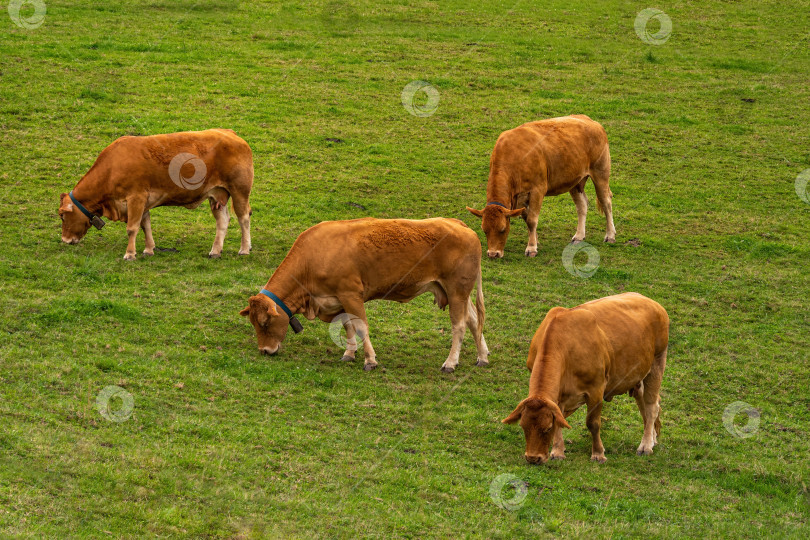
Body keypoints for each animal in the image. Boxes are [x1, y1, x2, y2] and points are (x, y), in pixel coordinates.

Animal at [59, 129, 252, 260]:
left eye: (62, 215)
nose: (64, 240)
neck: (112, 167)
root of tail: (230, 133)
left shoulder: (136, 198)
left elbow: (132, 228)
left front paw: (130, 254)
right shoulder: (143, 201)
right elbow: (146, 225)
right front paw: (148, 249)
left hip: (240, 190)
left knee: (243, 218)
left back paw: (244, 249)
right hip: (216, 195)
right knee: (223, 221)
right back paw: (215, 251)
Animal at [237, 217, 490, 374]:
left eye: (265, 322)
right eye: (254, 323)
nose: (265, 351)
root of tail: (458, 224)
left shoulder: (351, 294)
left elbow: (361, 327)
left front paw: (370, 360)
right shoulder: (337, 300)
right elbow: (348, 325)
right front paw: (349, 353)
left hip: (457, 291)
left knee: (459, 326)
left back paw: (450, 363)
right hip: (458, 293)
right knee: (474, 321)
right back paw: (482, 357)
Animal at [464, 115, 616, 258]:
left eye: (502, 229)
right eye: (484, 230)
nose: (493, 254)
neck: (514, 158)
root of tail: (592, 122)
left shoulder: (537, 190)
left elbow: (532, 220)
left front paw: (531, 248)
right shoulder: (521, 197)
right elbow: (527, 218)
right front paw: (535, 241)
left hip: (600, 173)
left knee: (606, 202)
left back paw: (610, 235)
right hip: (575, 181)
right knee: (582, 205)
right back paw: (579, 236)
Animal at [502, 294, 664, 466]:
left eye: (547, 428)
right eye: (523, 427)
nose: (533, 458)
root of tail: (651, 302)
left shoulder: (596, 390)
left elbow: (593, 423)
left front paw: (598, 453)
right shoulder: (559, 394)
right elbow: (560, 418)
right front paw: (558, 451)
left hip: (657, 363)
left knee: (651, 406)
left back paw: (645, 446)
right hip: (637, 376)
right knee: (643, 403)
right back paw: (652, 438)